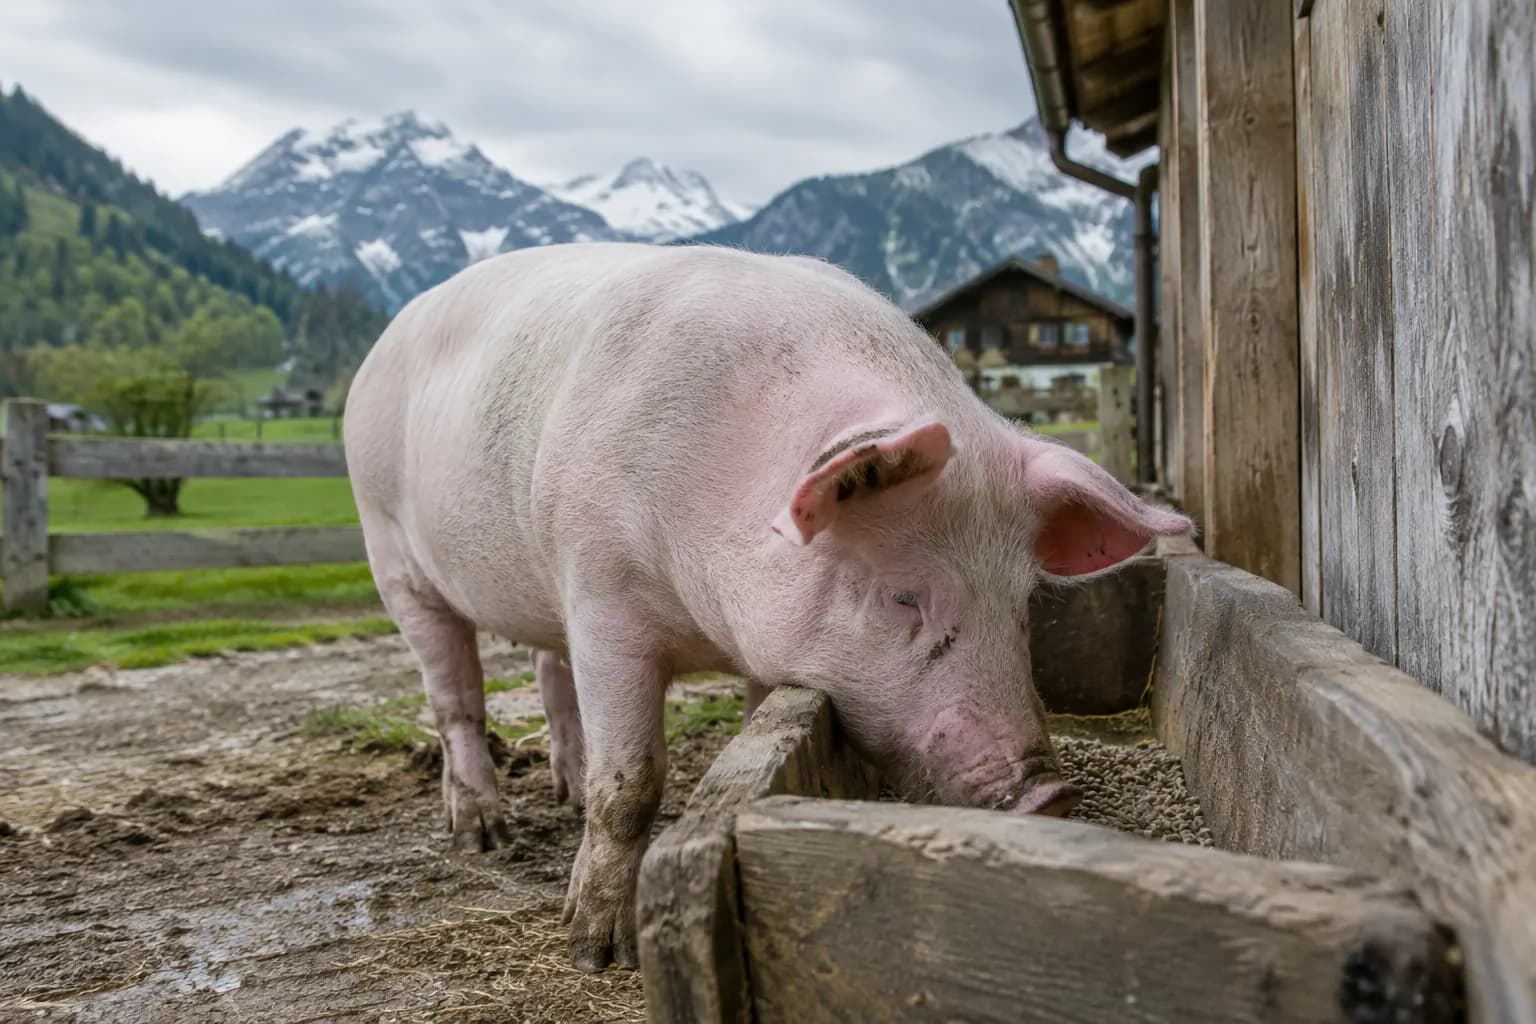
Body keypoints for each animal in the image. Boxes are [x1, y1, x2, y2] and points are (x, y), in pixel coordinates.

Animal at [343, 242, 1191, 972]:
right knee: (453, 697)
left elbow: (745, 733)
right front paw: (595, 951)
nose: (1051, 791)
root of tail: (382, 344)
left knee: (550, 680)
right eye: (901, 596)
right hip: (392, 555)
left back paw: (558, 788)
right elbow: (629, 785)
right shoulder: (600, 593)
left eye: (1022, 601)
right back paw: (483, 832)